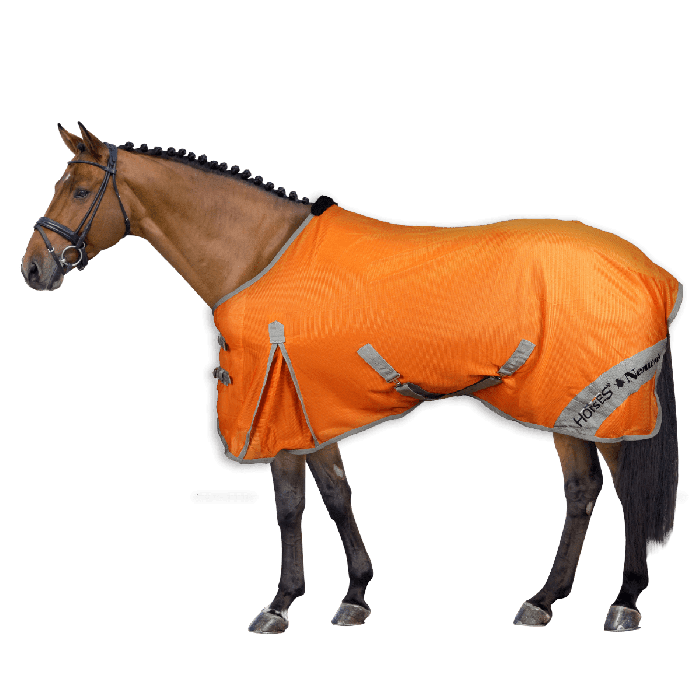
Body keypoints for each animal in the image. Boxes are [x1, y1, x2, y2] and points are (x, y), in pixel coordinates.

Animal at [21, 122, 686, 634]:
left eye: (80, 190)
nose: (33, 267)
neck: (257, 254)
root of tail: (654, 273)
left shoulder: (277, 405)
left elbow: (290, 505)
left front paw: (279, 606)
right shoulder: (311, 406)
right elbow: (336, 496)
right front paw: (354, 596)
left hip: (599, 404)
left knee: (622, 493)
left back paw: (624, 602)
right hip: (567, 408)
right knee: (582, 492)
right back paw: (543, 601)